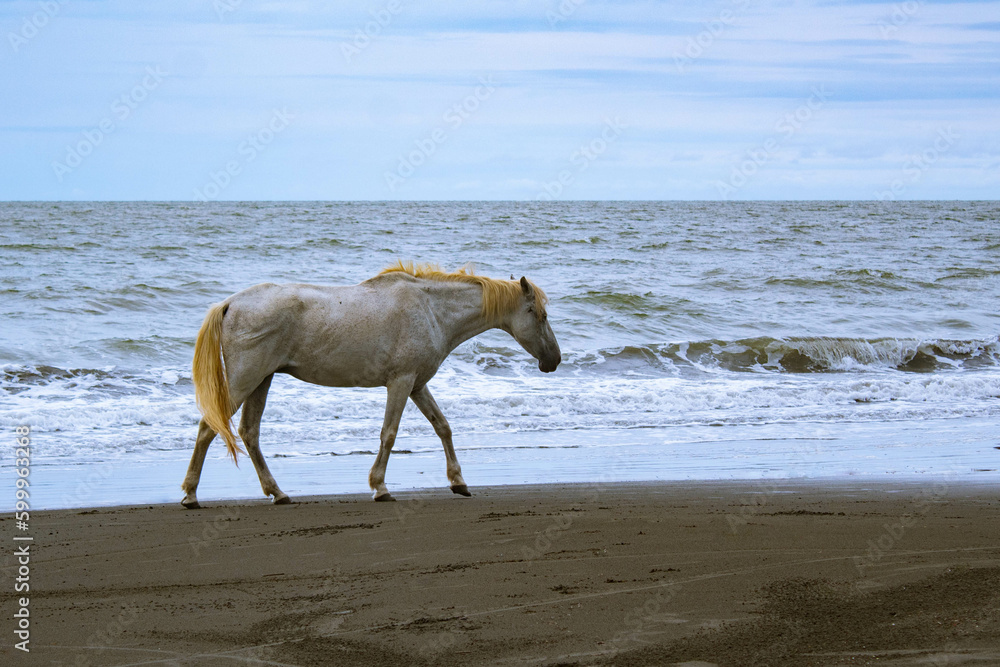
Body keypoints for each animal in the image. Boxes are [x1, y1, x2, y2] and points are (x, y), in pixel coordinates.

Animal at [181, 261, 561, 508]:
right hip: (246, 380)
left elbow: (443, 427)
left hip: (262, 380)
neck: (431, 309)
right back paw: (191, 494)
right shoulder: (401, 383)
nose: (554, 360)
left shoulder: (417, 385)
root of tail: (230, 304)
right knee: (209, 427)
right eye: (540, 314)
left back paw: (279, 492)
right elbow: (389, 434)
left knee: (249, 432)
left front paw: (458, 482)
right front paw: (380, 487)